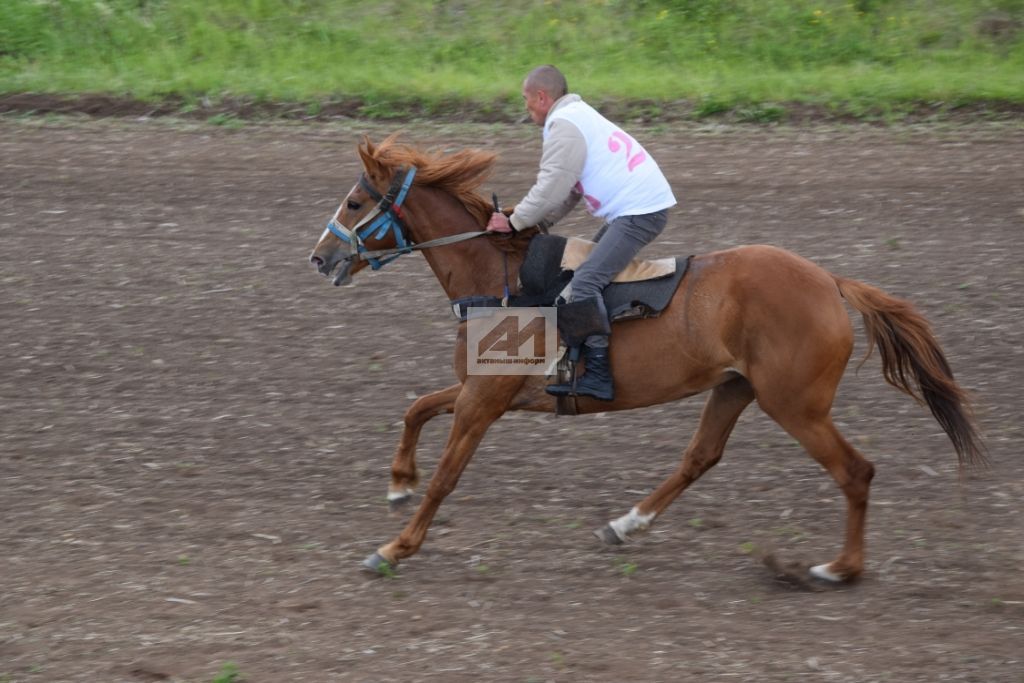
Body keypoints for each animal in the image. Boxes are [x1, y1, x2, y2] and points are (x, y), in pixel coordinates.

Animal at [309, 135, 983, 589]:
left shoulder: (484, 402)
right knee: (700, 457)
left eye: (354, 201)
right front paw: (399, 483)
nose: (319, 258)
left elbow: (447, 474)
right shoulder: (481, 390)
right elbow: (417, 408)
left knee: (855, 471)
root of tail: (830, 282)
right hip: (734, 388)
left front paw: (394, 548)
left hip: (796, 405)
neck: (496, 279)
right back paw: (626, 524)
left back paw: (839, 568)